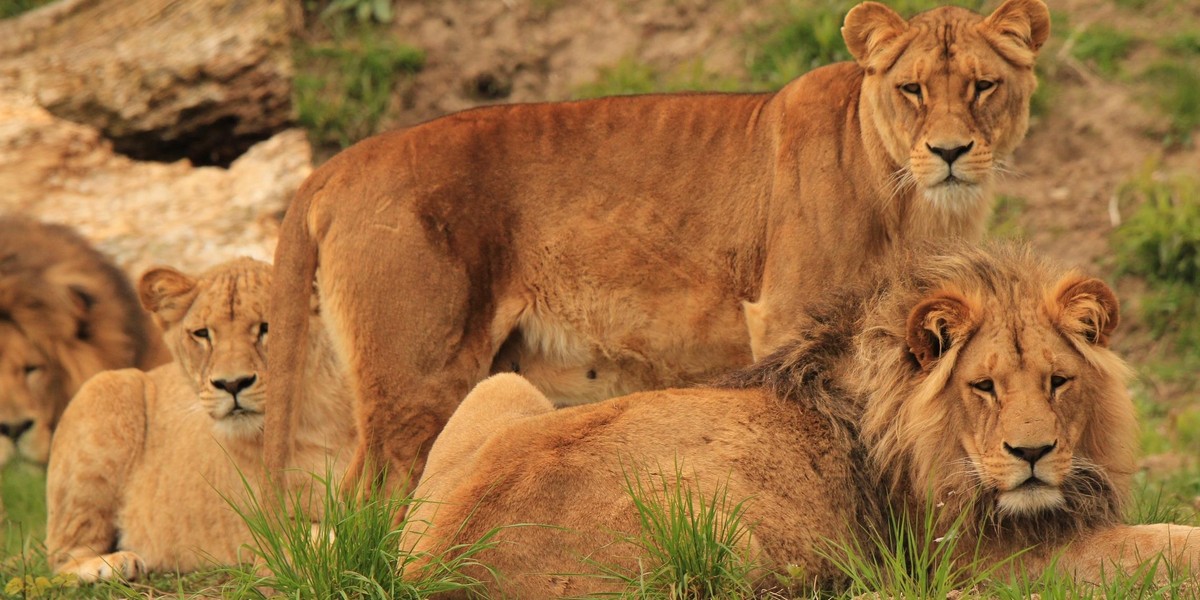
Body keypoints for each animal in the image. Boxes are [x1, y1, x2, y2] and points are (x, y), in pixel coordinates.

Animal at [46, 258, 355, 580]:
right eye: (202, 334)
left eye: (268, 327)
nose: (232, 384)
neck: (315, 419)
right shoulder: (271, 531)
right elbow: (331, 539)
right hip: (105, 387)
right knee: (61, 558)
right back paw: (114, 565)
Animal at [270, 0, 1051, 496]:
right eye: (912, 90)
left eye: (984, 86)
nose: (949, 152)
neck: (921, 206)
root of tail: (338, 164)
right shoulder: (785, 316)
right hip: (416, 380)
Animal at [400, 242, 1200, 595]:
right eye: (983, 387)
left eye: (1059, 382)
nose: (1032, 453)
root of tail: (444, 567)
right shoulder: (989, 566)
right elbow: (1162, 545)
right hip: (711, 527)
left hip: (502, 387)